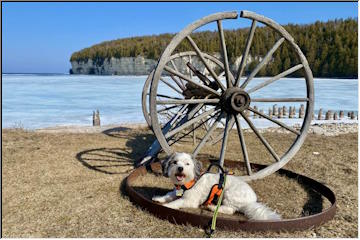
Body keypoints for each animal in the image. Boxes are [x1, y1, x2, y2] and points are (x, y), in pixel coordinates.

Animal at [152, 153, 282, 220]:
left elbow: (177, 202)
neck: (188, 182)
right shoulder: (176, 191)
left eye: (187, 164)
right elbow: (169, 194)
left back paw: (212, 207)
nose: (180, 168)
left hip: (229, 194)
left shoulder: (190, 200)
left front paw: (168, 205)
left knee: (230, 210)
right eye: (174, 162)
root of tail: (251, 201)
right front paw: (160, 198)